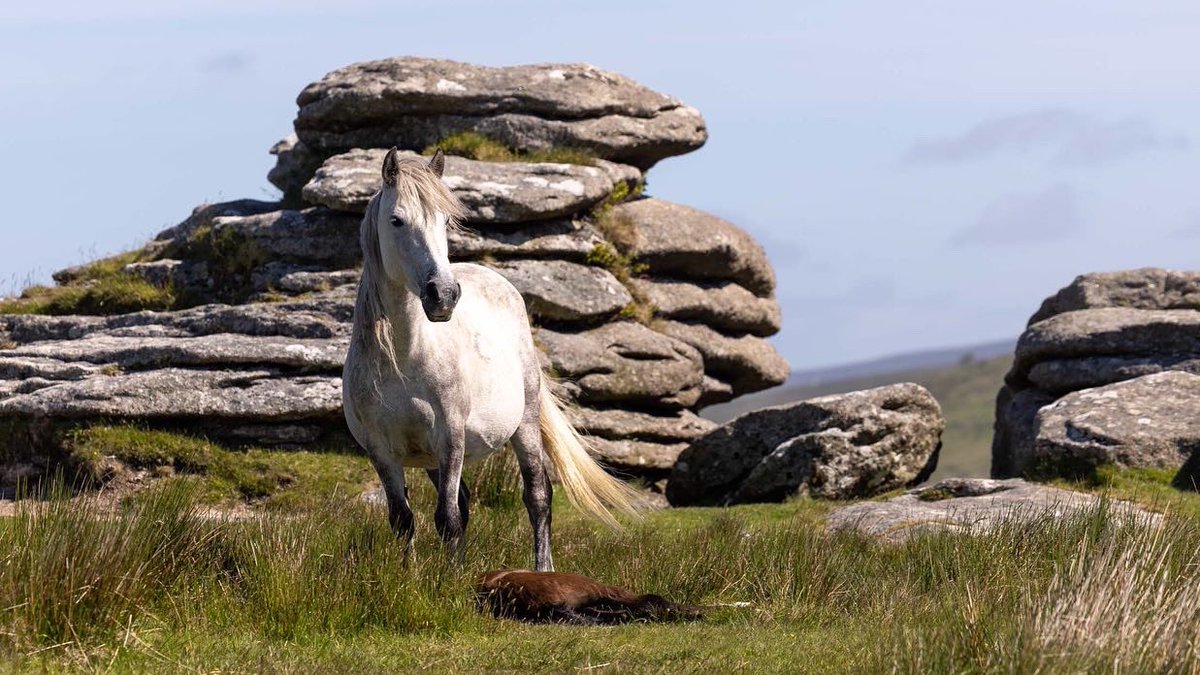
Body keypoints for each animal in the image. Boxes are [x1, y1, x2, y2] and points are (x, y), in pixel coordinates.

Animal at [343, 147, 643, 566]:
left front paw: (448, 580)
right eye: (396, 220)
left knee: (537, 497)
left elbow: (447, 518)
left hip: (525, 425)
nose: (444, 295)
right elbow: (404, 520)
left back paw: (543, 568)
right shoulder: (381, 451)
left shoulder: (450, 438)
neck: (403, 361)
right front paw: (410, 575)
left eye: (445, 220)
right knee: (464, 501)